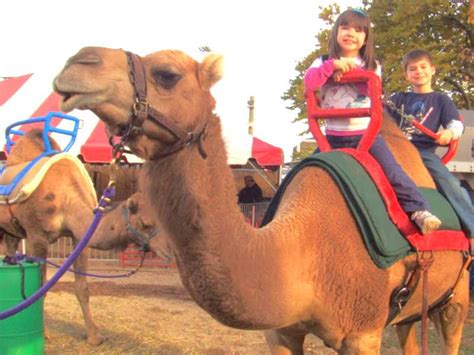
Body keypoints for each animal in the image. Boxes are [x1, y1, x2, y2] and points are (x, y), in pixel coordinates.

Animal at [0, 129, 161, 346]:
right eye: (145, 223)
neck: (65, 196)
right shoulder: (37, 237)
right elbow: (41, 288)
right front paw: (43, 335)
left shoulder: (80, 237)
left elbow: (83, 288)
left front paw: (94, 336)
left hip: (11, 230)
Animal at [52, 46, 470, 354]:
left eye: (167, 74)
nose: (78, 61)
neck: (302, 249)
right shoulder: (282, 331)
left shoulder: (363, 334)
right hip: (410, 312)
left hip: (456, 296)